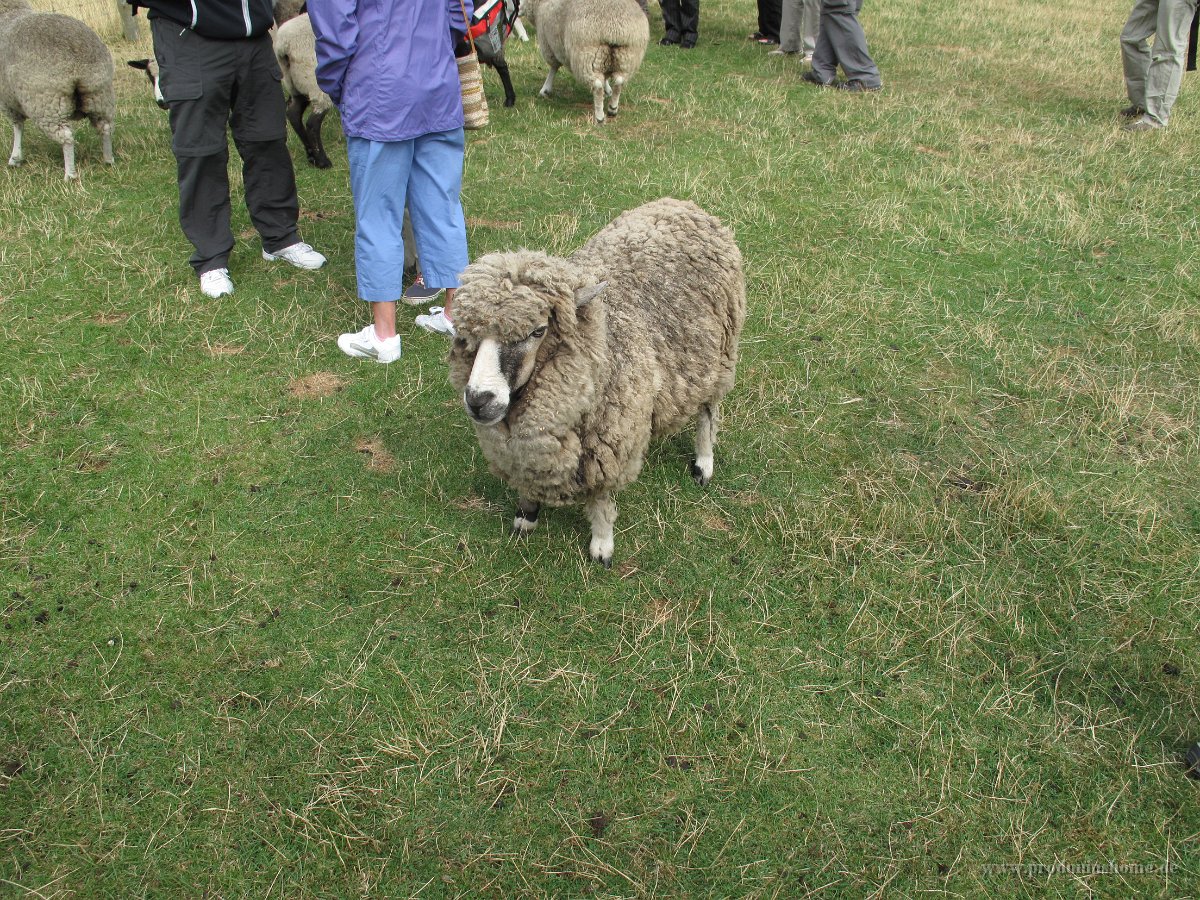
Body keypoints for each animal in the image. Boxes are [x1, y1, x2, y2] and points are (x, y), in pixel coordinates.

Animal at [0, 0, 115, 181]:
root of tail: (78, 66)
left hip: (46, 102)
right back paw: (108, 159)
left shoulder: (7, 99)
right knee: (105, 127)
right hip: (99, 94)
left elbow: (18, 126)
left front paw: (15, 157)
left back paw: (70, 174)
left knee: (66, 137)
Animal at [446, 198, 744, 566]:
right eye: (465, 336)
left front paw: (602, 545)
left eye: (538, 331)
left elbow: (601, 500)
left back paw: (703, 463)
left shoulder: (608, 447)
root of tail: (682, 205)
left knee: (708, 411)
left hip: (720, 356)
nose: (478, 400)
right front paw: (526, 516)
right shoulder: (524, 452)